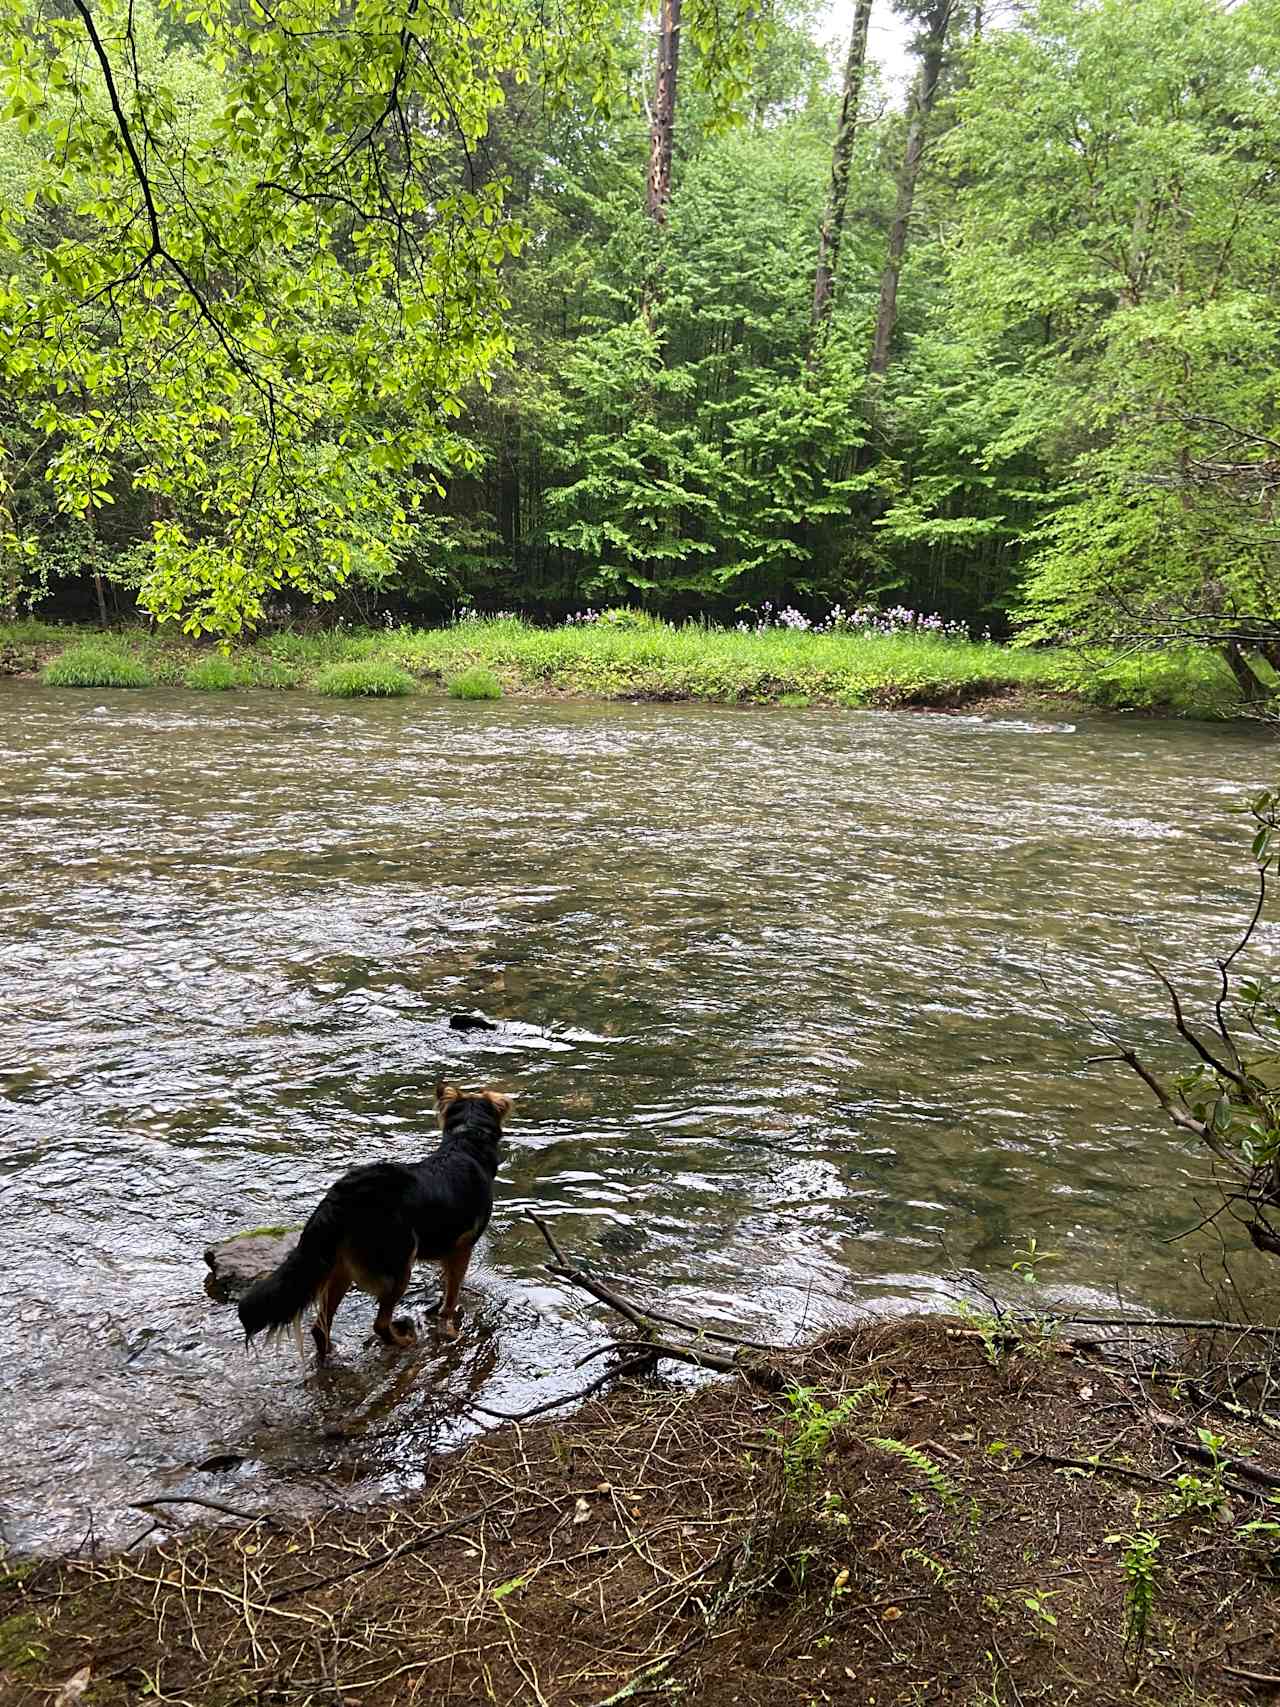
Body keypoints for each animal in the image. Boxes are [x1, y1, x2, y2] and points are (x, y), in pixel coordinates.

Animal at [238, 1078, 508, 1358]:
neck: (466, 1140)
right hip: (399, 1264)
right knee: (379, 1324)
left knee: (320, 1327)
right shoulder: (462, 1248)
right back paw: (403, 1342)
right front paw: (449, 1323)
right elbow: (451, 1297)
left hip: (342, 1267)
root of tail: (341, 1196)